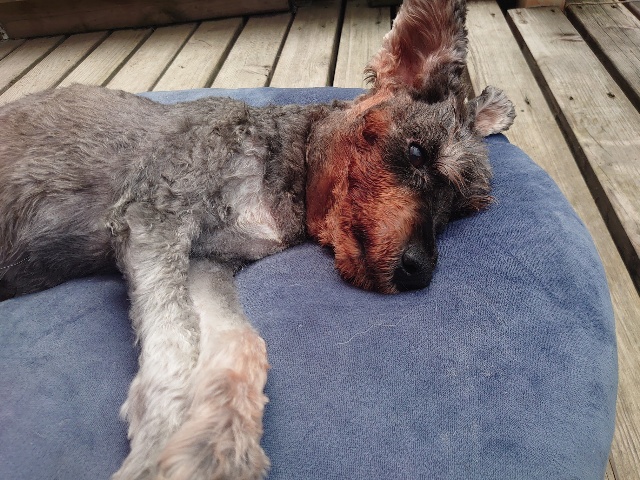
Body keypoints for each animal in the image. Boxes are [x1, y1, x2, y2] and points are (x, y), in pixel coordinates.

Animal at [0, 0, 515, 478]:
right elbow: (177, 341)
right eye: (416, 152)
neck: (284, 166)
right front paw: (157, 447)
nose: (420, 271)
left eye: (459, 210)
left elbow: (239, 343)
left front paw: (217, 444)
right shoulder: (153, 214)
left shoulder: (206, 262)